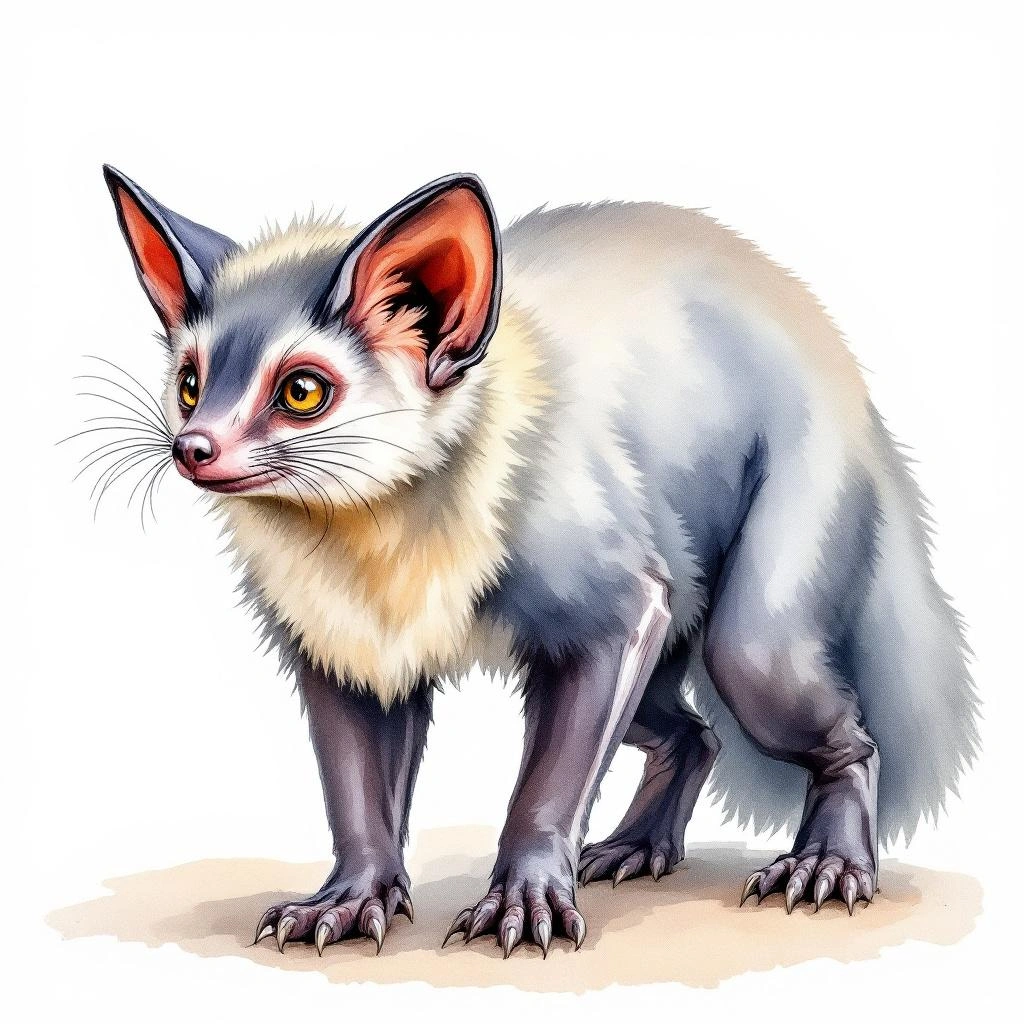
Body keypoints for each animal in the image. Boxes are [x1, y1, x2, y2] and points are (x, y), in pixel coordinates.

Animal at [98, 165, 978, 959]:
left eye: (303, 391)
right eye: (189, 382)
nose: (192, 447)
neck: (378, 552)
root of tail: (853, 394)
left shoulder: (616, 608)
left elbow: (547, 786)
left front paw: (524, 904)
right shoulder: (342, 649)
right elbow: (357, 794)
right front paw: (349, 902)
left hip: (763, 616)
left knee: (826, 720)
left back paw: (827, 863)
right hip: (668, 631)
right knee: (693, 734)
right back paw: (638, 849)